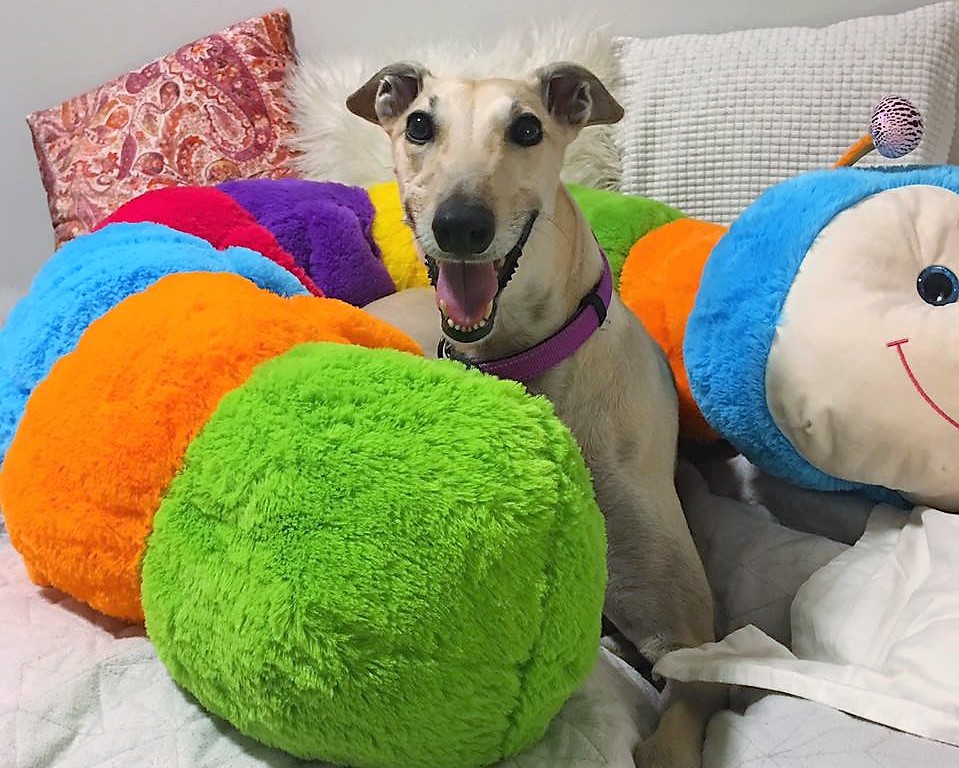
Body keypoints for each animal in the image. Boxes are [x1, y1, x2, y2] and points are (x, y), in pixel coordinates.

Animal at [344, 61, 720, 768]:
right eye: (418, 123)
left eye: (526, 128)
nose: (461, 226)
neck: (522, 358)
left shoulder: (688, 638)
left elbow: (690, 707)